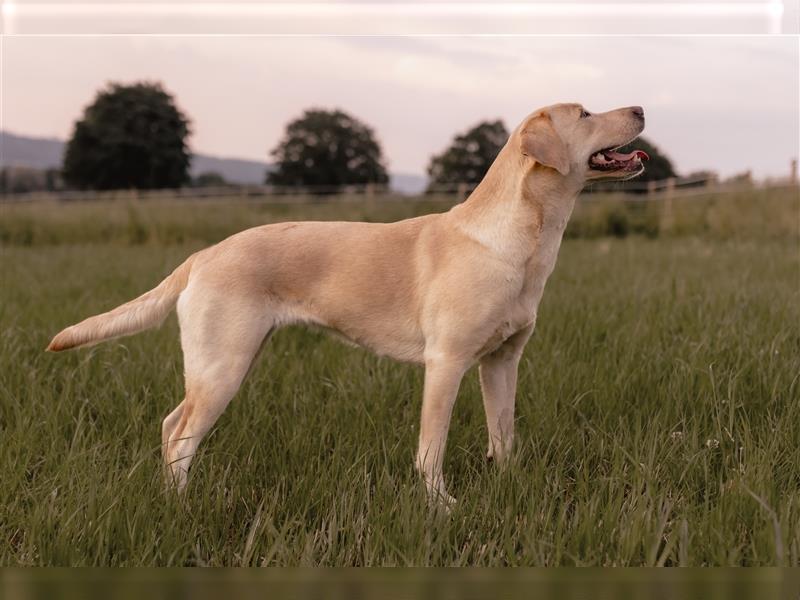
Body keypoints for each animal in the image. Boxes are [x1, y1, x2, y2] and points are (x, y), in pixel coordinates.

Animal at [47, 104, 648, 506]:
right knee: (180, 434)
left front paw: (511, 490)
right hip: (224, 367)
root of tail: (201, 254)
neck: (520, 242)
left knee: (171, 423)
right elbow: (432, 447)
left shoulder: (502, 362)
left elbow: (504, 437)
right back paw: (181, 505)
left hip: (224, 362)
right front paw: (440, 508)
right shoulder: (446, 363)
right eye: (585, 113)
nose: (641, 108)